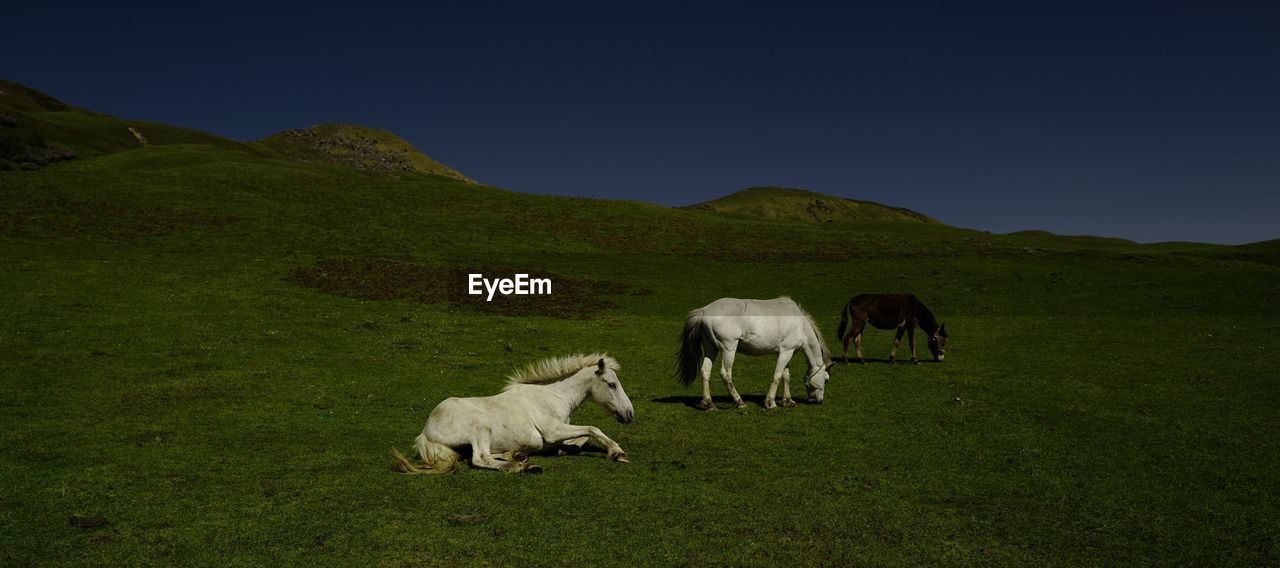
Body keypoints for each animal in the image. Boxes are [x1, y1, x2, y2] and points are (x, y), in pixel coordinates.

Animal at [386, 353, 632, 473]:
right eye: (612, 385)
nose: (629, 414)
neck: (553, 395)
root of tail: (425, 432)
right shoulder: (553, 431)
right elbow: (593, 429)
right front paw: (617, 453)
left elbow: (581, 439)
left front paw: (565, 449)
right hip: (481, 426)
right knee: (480, 458)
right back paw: (522, 466)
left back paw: (518, 456)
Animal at [675, 296, 834, 409]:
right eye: (826, 379)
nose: (818, 400)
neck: (800, 325)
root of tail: (705, 311)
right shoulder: (786, 352)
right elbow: (777, 376)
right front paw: (770, 402)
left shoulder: (785, 352)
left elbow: (786, 376)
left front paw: (787, 401)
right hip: (728, 349)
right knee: (726, 374)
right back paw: (739, 402)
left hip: (710, 348)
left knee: (705, 371)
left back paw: (707, 403)